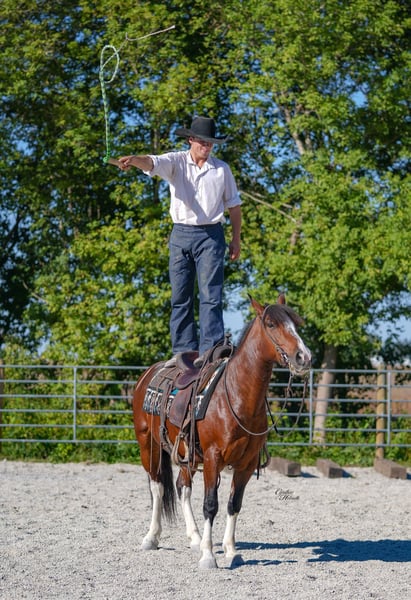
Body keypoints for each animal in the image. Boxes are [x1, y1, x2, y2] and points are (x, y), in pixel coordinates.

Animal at [132, 294, 311, 569]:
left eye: (296, 324)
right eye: (271, 324)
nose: (303, 356)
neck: (237, 396)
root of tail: (150, 374)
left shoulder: (246, 463)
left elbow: (233, 504)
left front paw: (230, 550)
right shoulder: (213, 458)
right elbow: (210, 505)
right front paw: (208, 556)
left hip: (185, 454)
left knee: (182, 487)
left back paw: (194, 537)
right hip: (147, 444)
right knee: (157, 487)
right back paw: (152, 537)